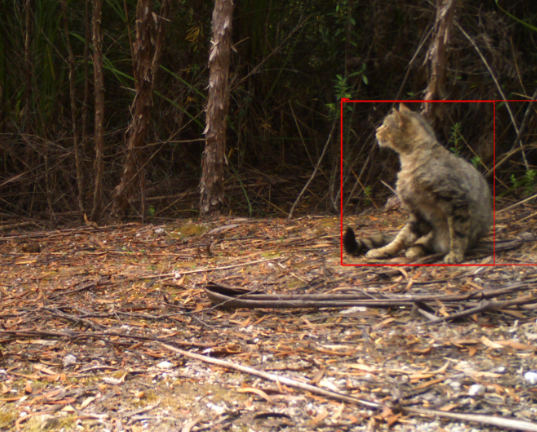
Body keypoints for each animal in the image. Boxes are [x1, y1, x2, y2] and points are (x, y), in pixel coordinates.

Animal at [344, 104, 490, 264]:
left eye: (386, 125)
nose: (376, 130)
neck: (408, 160)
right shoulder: (419, 214)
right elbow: (402, 237)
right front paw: (384, 251)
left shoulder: (456, 199)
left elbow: (458, 233)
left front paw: (455, 254)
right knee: (415, 241)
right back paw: (411, 251)